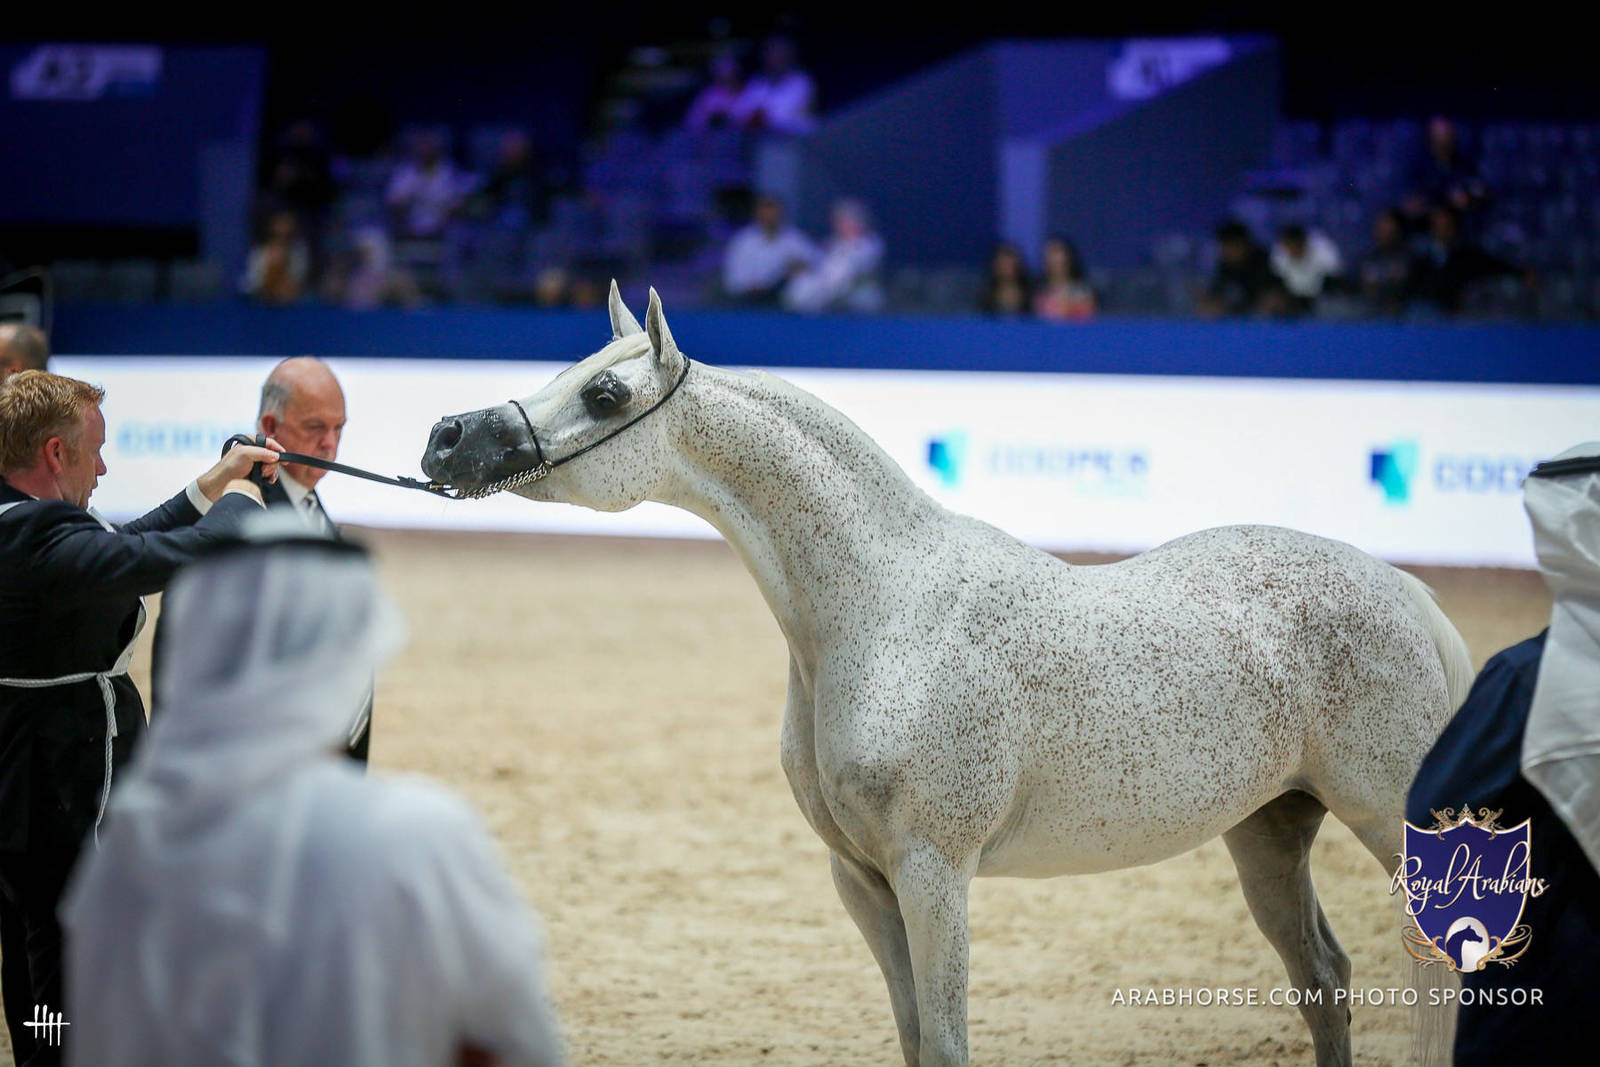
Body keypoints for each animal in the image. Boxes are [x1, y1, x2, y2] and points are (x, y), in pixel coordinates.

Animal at [421, 285, 1474, 1066]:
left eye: (604, 394)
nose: (448, 436)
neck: (886, 607)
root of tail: (1406, 593)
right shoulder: (862, 879)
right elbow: (917, 1041)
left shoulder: (935, 871)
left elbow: (951, 1041)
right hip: (1269, 829)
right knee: (1325, 979)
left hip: (1393, 828)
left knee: (1431, 979)